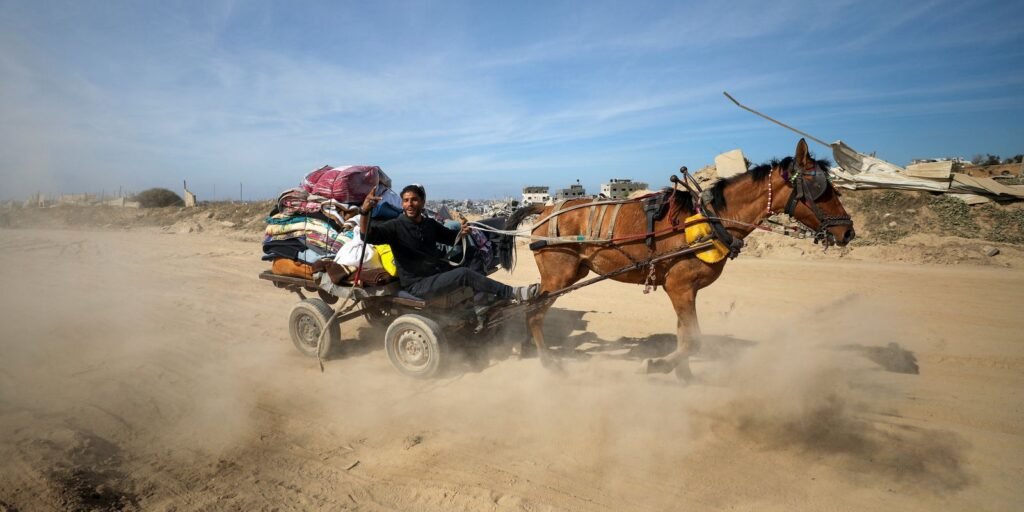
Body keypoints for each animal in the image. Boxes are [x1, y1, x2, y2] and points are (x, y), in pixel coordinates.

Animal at [505, 140, 856, 380]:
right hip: (559, 276)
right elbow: (694, 341)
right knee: (534, 312)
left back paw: (527, 348)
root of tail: (545, 208)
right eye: (820, 188)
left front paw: (683, 373)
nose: (848, 231)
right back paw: (548, 362)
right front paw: (660, 365)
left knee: (531, 303)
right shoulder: (680, 287)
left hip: (570, 274)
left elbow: (683, 335)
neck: (712, 217)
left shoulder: (685, 290)